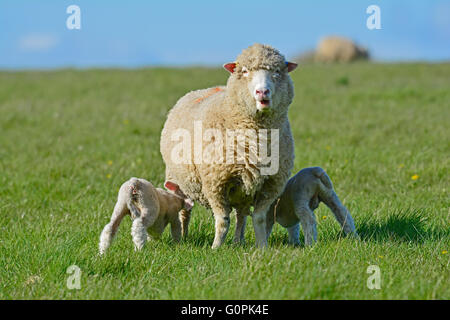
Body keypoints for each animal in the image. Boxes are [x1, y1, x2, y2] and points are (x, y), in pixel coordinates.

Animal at [160, 43, 298, 248]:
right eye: (245, 71)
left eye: (277, 72)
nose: (262, 92)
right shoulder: (215, 183)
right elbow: (223, 220)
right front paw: (215, 248)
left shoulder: (271, 184)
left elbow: (258, 219)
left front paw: (262, 247)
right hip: (180, 183)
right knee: (185, 212)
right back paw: (183, 237)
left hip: (243, 191)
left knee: (241, 216)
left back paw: (237, 241)